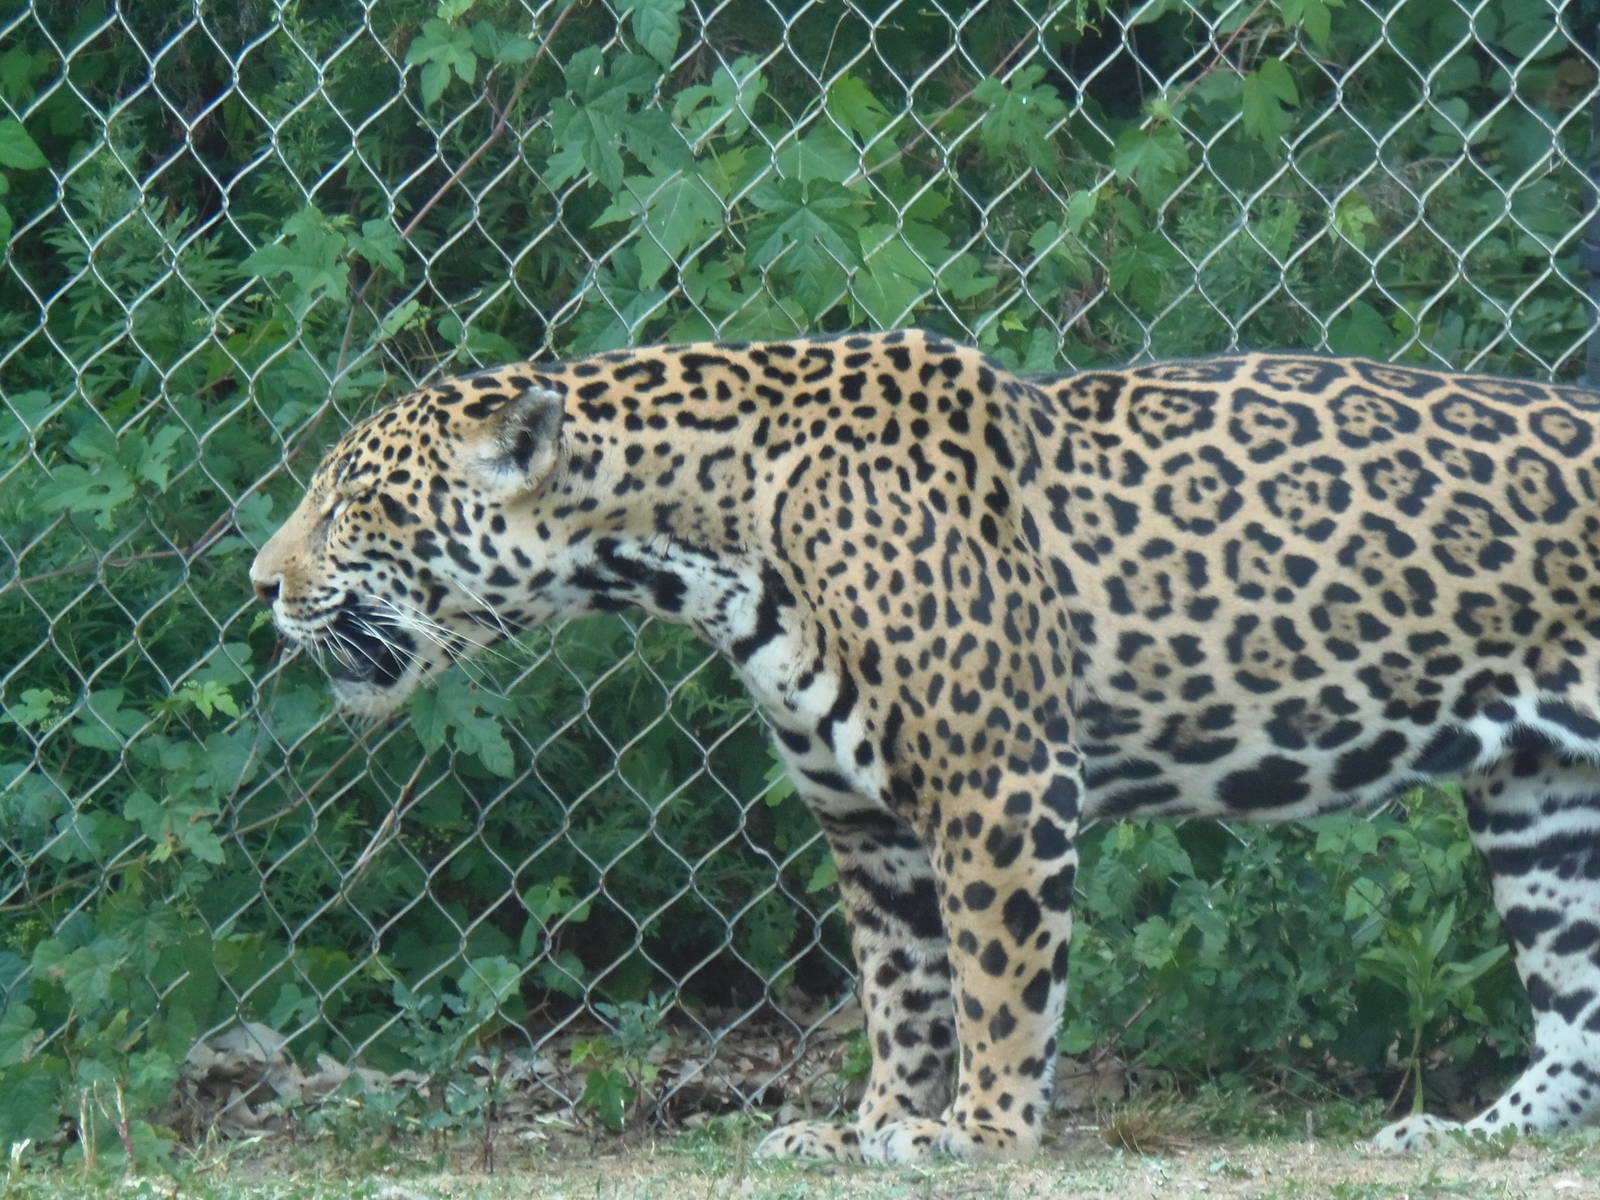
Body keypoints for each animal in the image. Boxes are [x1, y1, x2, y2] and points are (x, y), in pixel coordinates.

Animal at [251, 328, 1600, 1162]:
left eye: (354, 502)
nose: (262, 586)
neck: (698, 543)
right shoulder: (866, 826)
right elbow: (901, 994)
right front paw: (865, 1129)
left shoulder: (996, 786)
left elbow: (998, 985)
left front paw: (984, 1133)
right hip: (1542, 803)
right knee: (1576, 1019)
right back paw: (1468, 1137)